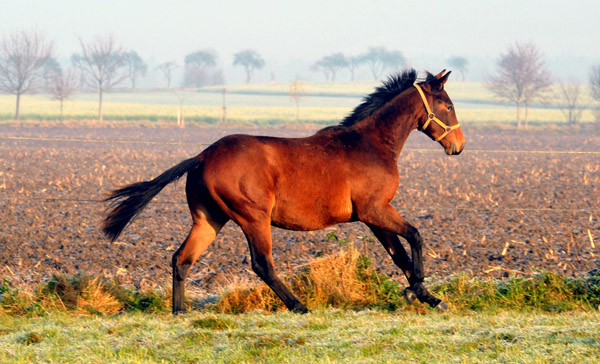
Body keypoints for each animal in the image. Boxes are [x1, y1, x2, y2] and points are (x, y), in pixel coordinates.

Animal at [102, 69, 464, 314]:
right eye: (447, 105)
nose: (459, 146)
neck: (371, 144)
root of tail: (203, 155)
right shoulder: (375, 209)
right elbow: (415, 236)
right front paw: (417, 291)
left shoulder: (374, 216)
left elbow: (399, 255)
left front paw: (428, 296)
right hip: (253, 218)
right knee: (262, 265)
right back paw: (299, 305)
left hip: (209, 220)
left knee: (182, 258)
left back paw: (180, 312)